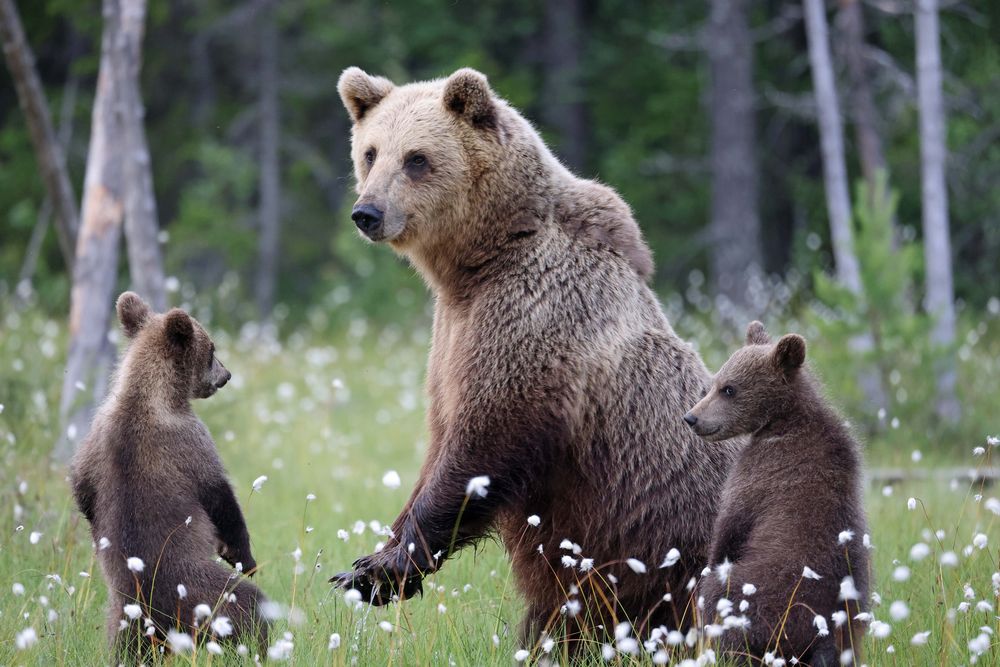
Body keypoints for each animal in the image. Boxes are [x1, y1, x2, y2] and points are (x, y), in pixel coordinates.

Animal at [332, 65, 740, 648]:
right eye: (370, 153)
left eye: (416, 158)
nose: (367, 212)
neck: (478, 264)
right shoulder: (451, 339)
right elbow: (443, 435)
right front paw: (373, 562)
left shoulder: (536, 321)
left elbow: (485, 438)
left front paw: (378, 569)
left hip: (676, 550)